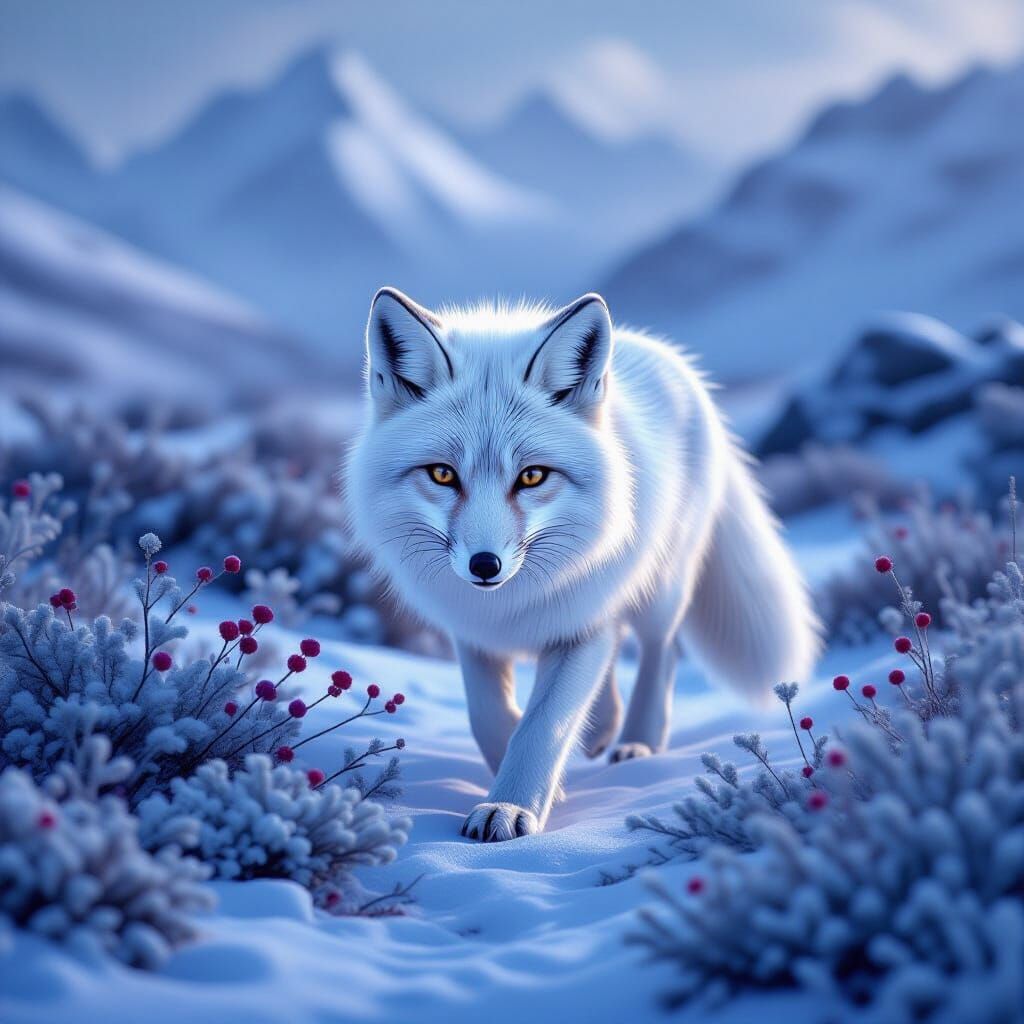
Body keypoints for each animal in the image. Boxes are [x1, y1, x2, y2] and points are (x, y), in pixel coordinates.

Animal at [345, 287, 821, 842]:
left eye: (532, 476)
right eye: (443, 474)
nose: (485, 565)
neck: (511, 604)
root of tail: (674, 362)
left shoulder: (580, 626)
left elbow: (542, 725)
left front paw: (509, 807)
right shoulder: (473, 630)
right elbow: (488, 717)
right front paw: (531, 781)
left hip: (659, 590)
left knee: (662, 649)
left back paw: (638, 740)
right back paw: (603, 730)